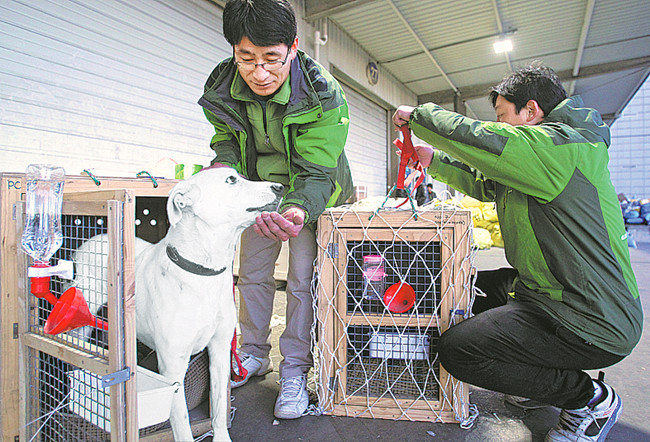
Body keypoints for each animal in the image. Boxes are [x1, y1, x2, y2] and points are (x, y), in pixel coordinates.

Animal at [70, 167, 280, 442]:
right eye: (231, 180)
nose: (280, 186)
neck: (203, 273)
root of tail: (93, 238)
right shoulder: (172, 369)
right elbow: (182, 426)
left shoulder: (220, 353)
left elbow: (219, 411)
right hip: (81, 319)